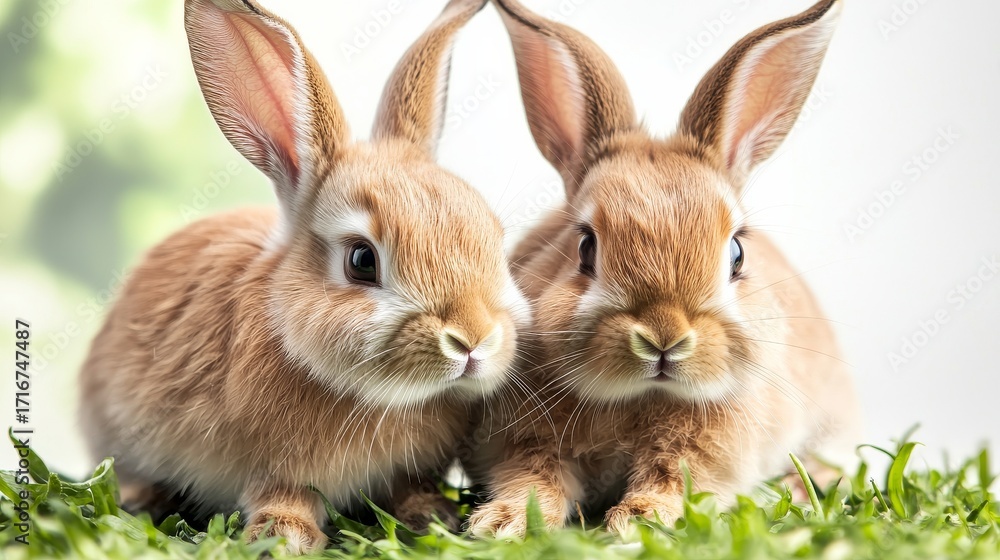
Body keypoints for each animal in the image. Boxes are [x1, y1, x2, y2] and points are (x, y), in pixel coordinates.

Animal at [77, 0, 530, 553]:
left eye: (494, 239)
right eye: (362, 260)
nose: (473, 339)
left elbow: (407, 489)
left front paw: (431, 514)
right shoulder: (271, 467)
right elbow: (281, 495)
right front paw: (285, 536)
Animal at [467, 0, 862, 537]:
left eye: (737, 254)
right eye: (585, 247)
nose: (664, 337)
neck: (638, 397)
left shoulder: (702, 455)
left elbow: (674, 481)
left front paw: (638, 520)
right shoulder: (522, 440)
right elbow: (531, 477)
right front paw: (504, 521)